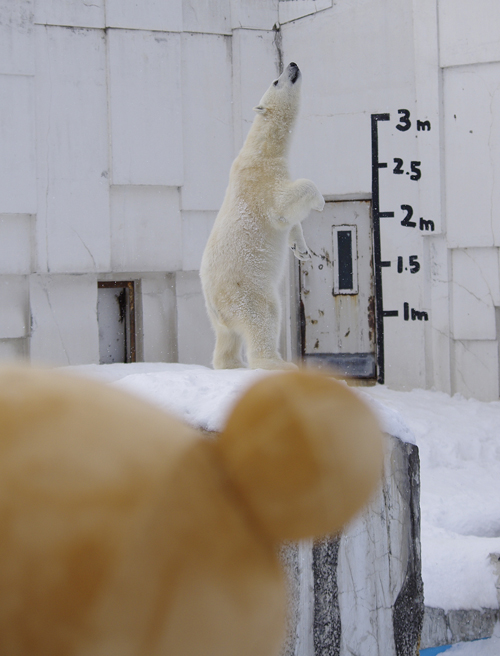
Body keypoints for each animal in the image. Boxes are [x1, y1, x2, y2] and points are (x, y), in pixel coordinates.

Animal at [201, 64, 326, 372]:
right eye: (275, 81)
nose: (292, 65)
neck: (260, 151)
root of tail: (217, 307)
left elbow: (291, 223)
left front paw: (301, 250)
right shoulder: (262, 183)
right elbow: (285, 204)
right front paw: (319, 201)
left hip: (216, 316)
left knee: (226, 338)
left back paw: (230, 364)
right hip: (246, 290)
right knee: (265, 316)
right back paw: (277, 363)